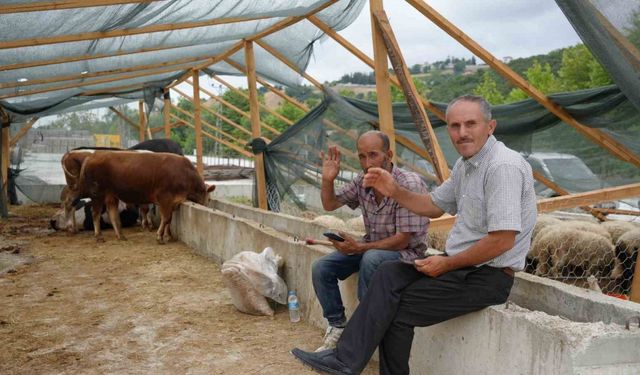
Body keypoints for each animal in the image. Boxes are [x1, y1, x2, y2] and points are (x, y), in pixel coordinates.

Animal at [77, 151, 215, 245]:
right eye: (209, 199)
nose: (206, 205)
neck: (184, 174)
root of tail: (93, 155)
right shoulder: (165, 198)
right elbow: (166, 218)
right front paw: (160, 237)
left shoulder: (172, 202)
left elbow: (169, 220)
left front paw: (168, 235)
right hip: (97, 194)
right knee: (95, 213)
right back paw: (99, 236)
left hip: (111, 194)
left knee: (112, 213)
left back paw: (120, 235)